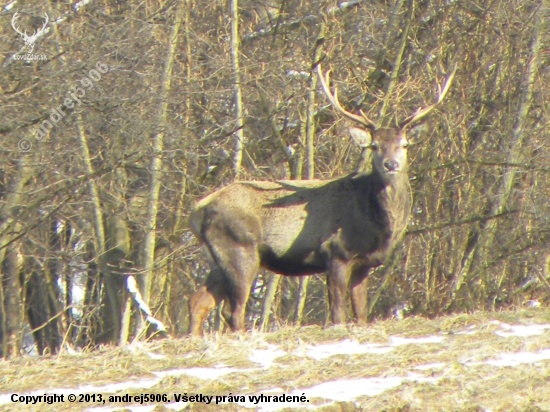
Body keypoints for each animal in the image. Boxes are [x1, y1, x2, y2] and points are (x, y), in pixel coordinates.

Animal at [190, 63, 458, 334]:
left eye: (404, 144)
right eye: (374, 145)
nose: (390, 164)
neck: (376, 225)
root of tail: (198, 210)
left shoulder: (364, 264)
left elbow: (361, 314)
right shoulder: (337, 251)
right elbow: (338, 313)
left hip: (217, 259)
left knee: (198, 301)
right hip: (240, 250)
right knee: (232, 310)